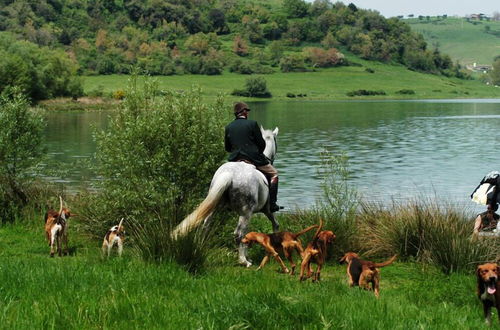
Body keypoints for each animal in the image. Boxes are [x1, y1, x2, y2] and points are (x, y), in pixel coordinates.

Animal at [172, 126, 280, 266]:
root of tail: (229, 175)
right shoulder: (267, 210)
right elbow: (275, 224)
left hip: (215, 206)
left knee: (206, 226)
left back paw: (200, 248)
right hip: (246, 212)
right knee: (239, 233)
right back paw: (243, 261)